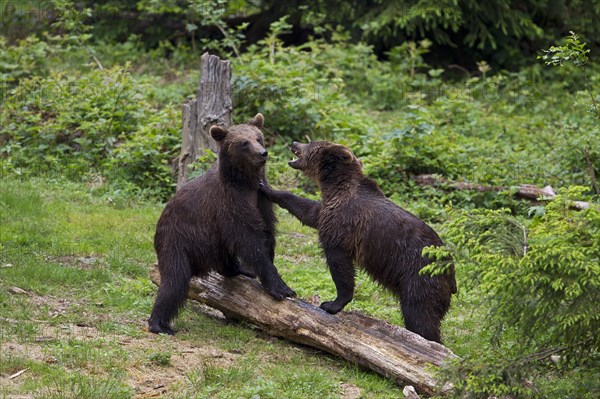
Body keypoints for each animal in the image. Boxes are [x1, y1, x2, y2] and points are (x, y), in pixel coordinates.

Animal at [146, 114, 294, 336]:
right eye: (244, 143)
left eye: (258, 137)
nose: (262, 153)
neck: (244, 182)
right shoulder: (229, 204)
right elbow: (250, 241)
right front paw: (281, 287)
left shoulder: (262, 199)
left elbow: (266, 231)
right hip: (177, 240)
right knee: (174, 280)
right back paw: (159, 324)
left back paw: (237, 269)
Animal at [260, 141, 458, 344]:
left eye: (311, 144)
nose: (294, 143)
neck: (336, 188)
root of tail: (451, 272)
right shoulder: (327, 210)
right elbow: (308, 211)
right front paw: (267, 188)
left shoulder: (344, 224)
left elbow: (340, 264)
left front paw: (331, 304)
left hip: (419, 277)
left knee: (420, 315)